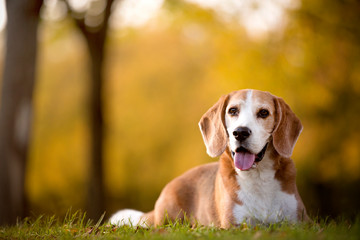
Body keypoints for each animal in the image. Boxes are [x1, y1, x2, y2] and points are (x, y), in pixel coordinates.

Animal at [110, 89, 310, 227]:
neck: (259, 177)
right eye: (233, 111)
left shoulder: (300, 222)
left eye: (263, 113)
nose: (240, 132)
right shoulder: (235, 225)